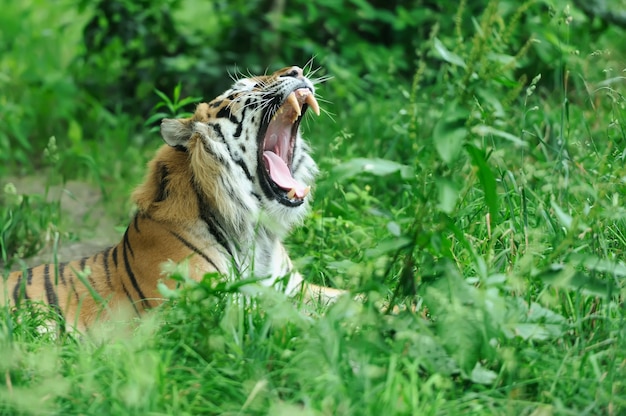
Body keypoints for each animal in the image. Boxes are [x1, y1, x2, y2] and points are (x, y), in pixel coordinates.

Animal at [0, 65, 344, 332]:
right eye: (245, 87)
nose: (296, 70)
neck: (256, 233)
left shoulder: (296, 286)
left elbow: (343, 295)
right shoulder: (201, 307)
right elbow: (290, 316)